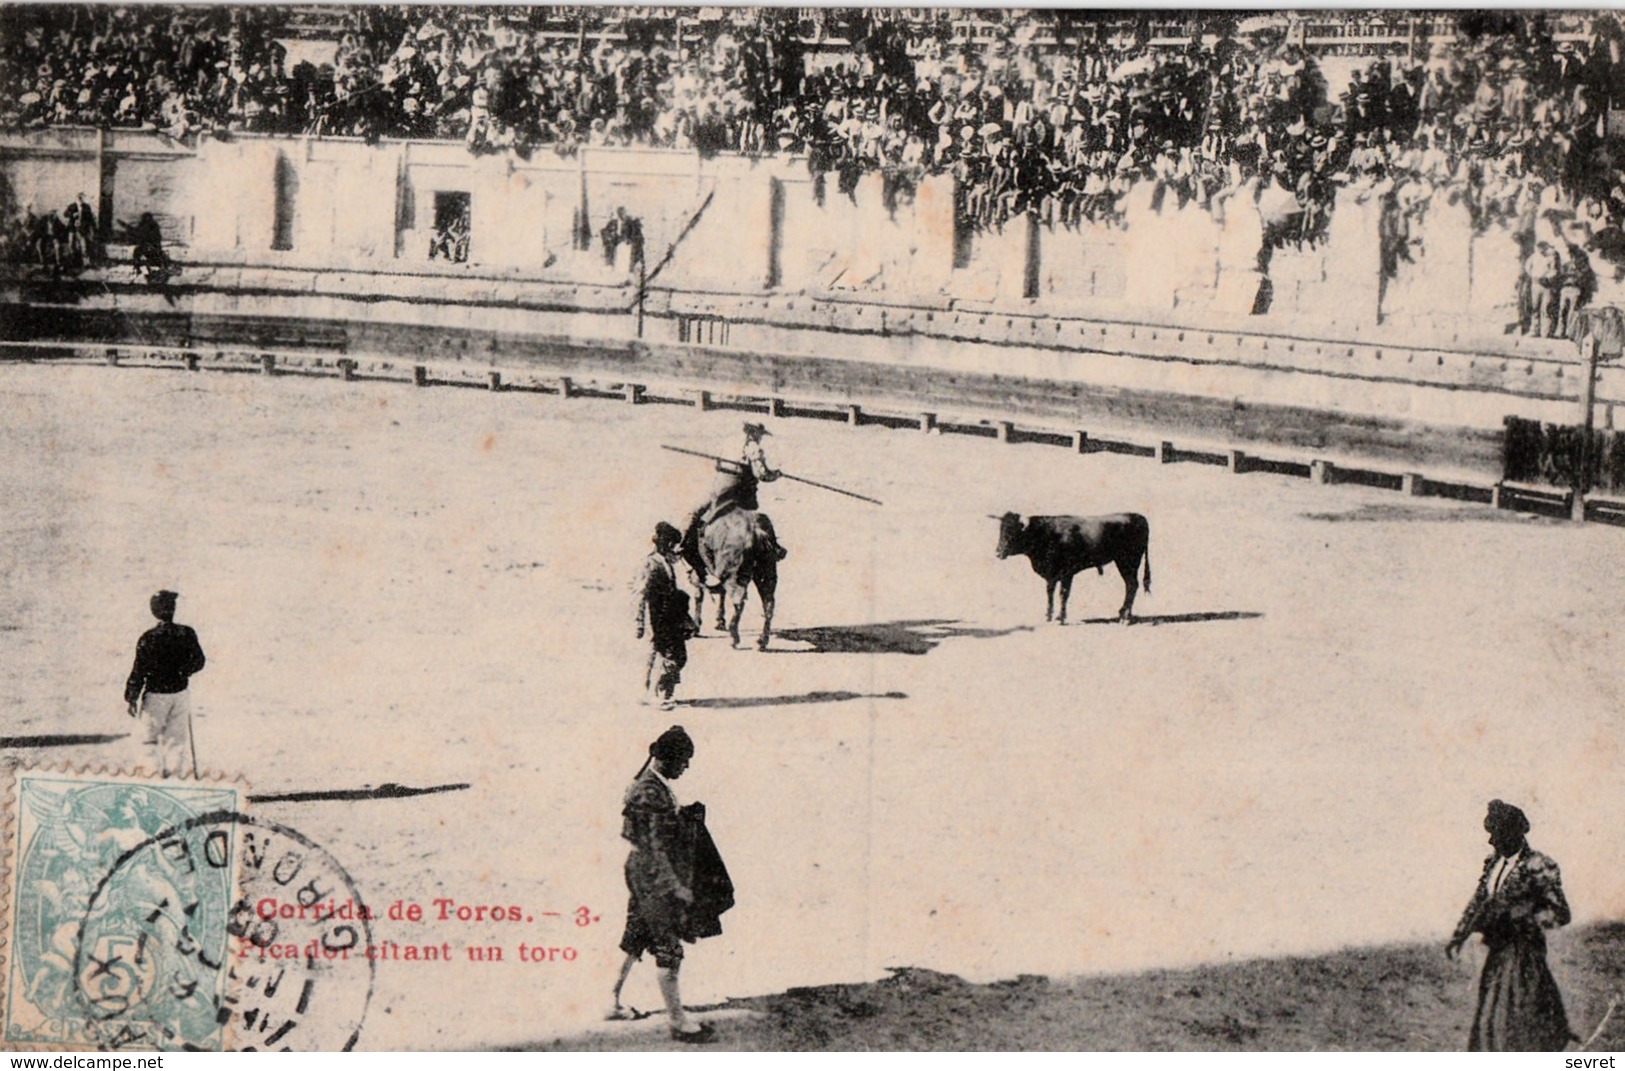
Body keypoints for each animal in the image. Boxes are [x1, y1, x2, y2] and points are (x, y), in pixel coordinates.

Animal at [988, 513, 1157, 624]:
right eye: (1001, 530)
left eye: (1012, 532)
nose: (998, 552)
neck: (1046, 534)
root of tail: (1137, 516)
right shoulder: (1051, 575)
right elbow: (1050, 593)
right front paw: (1048, 615)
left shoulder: (1067, 573)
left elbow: (1063, 594)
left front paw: (1061, 618)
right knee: (1131, 585)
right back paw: (1125, 614)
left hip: (1127, 561)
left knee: (1132, 585)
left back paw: (1125, 616)